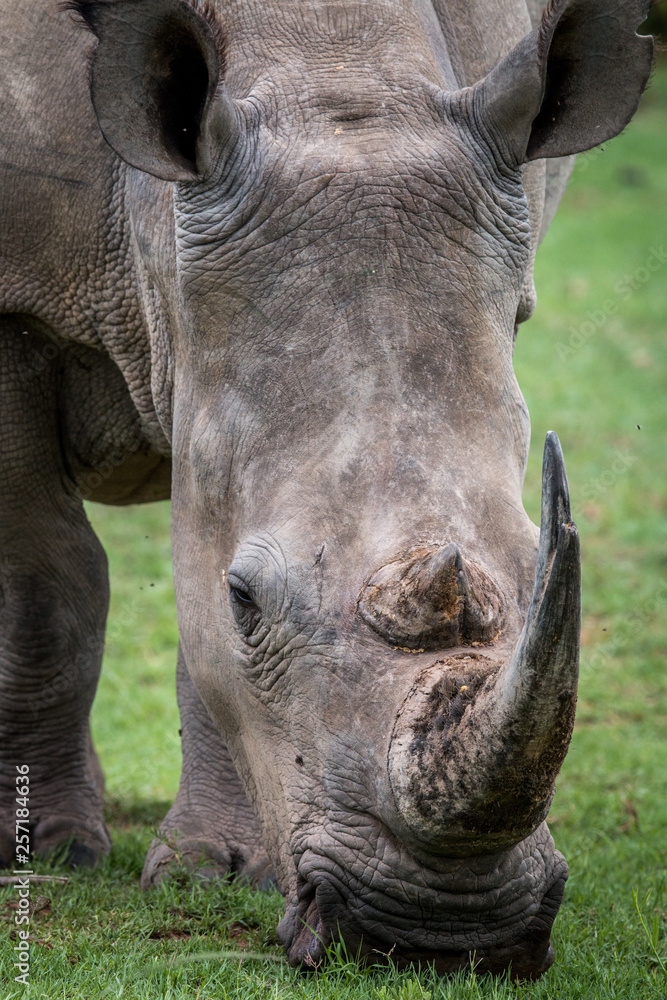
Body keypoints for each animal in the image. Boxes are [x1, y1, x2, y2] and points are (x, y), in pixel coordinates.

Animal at [0, 0, 653, 980]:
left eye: (539, 561)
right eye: (244, 599)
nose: (443, 935)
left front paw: (218, 871)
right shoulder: (12, 308)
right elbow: (48, 585)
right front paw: (50, 849)